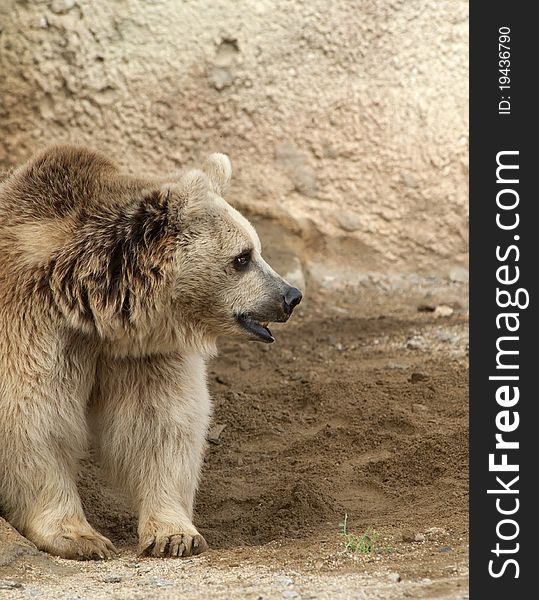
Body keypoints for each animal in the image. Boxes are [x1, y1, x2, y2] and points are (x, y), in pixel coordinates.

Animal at [0, 148, 302, 560]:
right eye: (242, 257)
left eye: (257, 249)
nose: (290, 296)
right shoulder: (31, 325)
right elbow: (34, 418)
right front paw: (82, 538)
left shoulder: (141, 352)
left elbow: (158, 421)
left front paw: (174, 534)